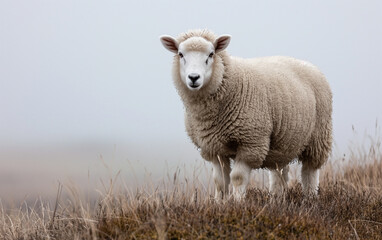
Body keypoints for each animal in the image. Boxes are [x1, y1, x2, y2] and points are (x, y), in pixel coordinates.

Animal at [158, 29, 332, 200]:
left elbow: (238, 178)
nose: (194, 78)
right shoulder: (213, 148)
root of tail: (303, 62)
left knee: (309, 172)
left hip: (318, 137)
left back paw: (310, 198)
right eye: (181, 54)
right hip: (283, 143)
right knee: (279, 172)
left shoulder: (250, 143)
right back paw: (276, 199)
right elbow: (220, 181)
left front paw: (238, 204)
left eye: (211, 54)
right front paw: (220, 203)